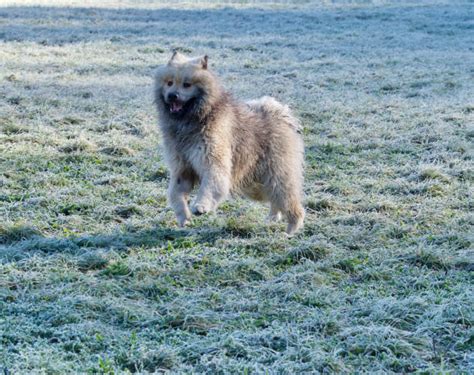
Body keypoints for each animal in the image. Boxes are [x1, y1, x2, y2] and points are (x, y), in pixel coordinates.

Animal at [154, 52, 306, 235]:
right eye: (169, 83)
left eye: (187, 85)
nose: (172, 95)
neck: (194, 119)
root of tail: (281, 116)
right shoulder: (183, 168)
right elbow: (175, 194)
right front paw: (184, 216)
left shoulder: (213, 161)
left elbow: (210, 186)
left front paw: (201, 206)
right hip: (258, 183)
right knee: (275, 199)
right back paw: (273, 218)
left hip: (277, 175)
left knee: (290, 202)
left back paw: (290, 231)